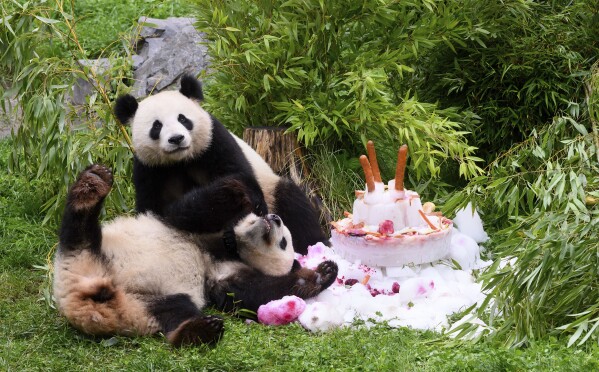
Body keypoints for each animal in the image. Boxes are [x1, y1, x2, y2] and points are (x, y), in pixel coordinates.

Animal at [54, 164, 340, 348]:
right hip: (86, 252)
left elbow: (251, 293)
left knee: (173, 310)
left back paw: (199, 330)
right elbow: (188, 211)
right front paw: (247, 195)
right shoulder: (201, 229)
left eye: (283, 243)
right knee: (79, 227)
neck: (230, 250)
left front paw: (322, 273)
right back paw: (92, 186)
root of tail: (86, 302)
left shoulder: (224, 274)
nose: (275, 218)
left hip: (141, 304)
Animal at [112, 75, 328, 256]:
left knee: (293, 205)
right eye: (157, 126)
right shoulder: (149, 169)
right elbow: (152, 210)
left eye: (183, 118)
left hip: (273, 189)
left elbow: (239, 178)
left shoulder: (215, 142)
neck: (181, 160)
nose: (176, 139)